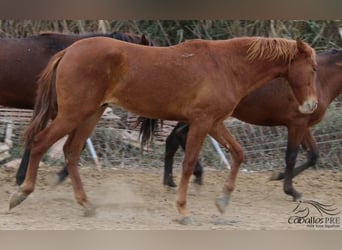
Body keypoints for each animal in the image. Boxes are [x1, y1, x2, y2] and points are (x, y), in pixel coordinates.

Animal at [157, 47, 342, 200]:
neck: (321, 80)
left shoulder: (304, 125)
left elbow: (313, 155)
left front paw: (278, 176)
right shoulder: (296, 123)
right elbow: (291, 156)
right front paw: (290, 190)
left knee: (173, 139)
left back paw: (172, 181)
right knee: (179, 136)